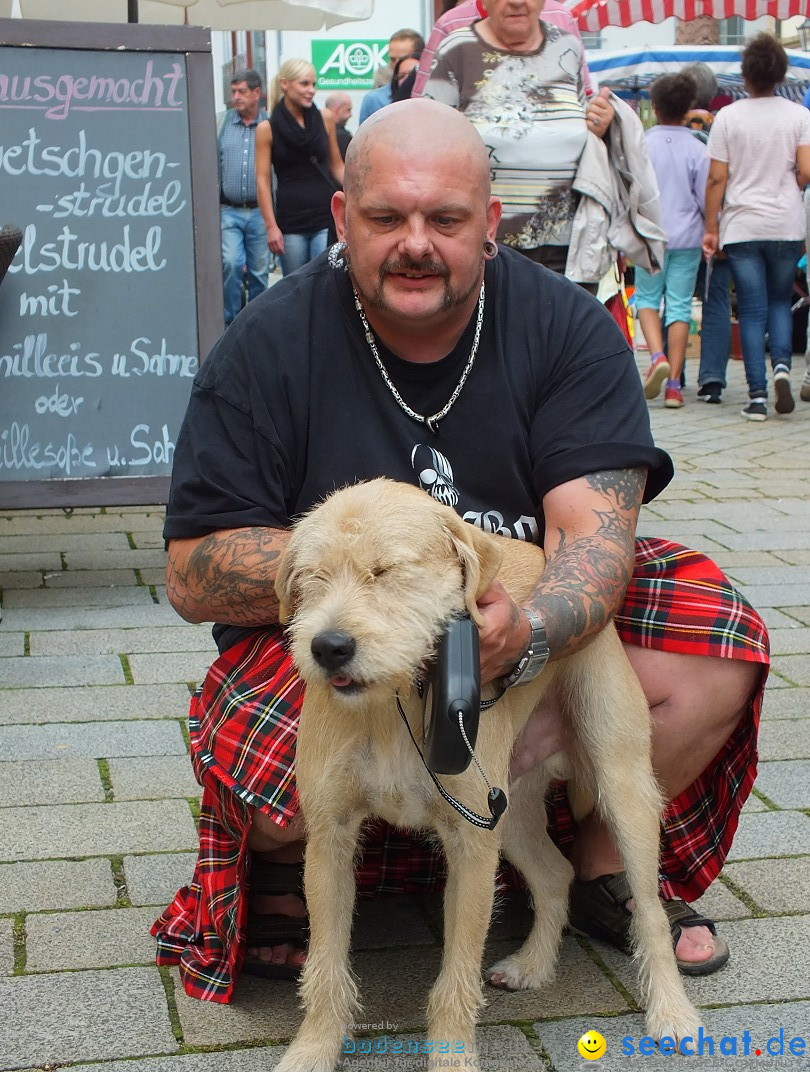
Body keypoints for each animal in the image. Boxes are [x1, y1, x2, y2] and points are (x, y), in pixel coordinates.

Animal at [273, 480, 702, 1072]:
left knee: (651, 914)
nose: (329, 647)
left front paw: (452, 1058)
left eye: (386, 571)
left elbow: (457, 975)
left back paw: (672, 1012)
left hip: (622, 785)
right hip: (511, 809)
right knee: (556, 874)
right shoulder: (329, 838)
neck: (394, 703)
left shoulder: (471, 845)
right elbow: (325, 966)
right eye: (311, 578)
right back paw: (533, 966)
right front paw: (312, 1049)